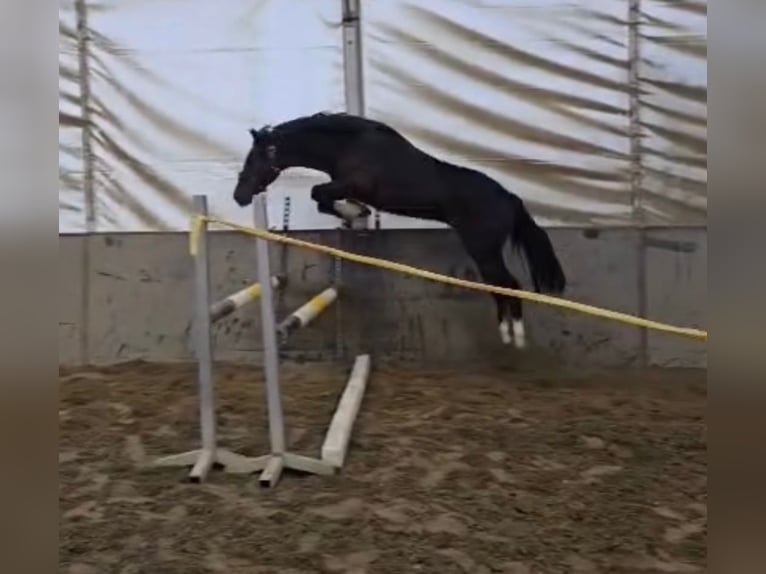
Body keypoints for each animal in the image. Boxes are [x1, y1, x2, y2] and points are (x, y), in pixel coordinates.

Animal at [232, 112, 566, 349]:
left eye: (254, 158)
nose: (239, 196)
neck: (350, 145)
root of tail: (509, 198)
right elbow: (322, 198)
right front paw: (356, 214)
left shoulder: (353, 183)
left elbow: (319, 194)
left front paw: (356, 213)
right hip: (486, 253)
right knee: (499, 287)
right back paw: (507, 333)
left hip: (484, 250)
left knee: (509, 284)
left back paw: (515, 335)